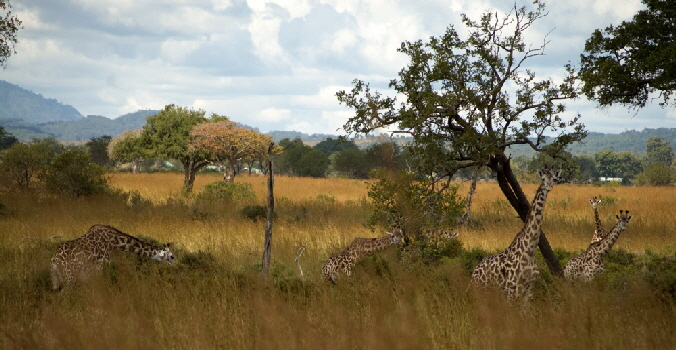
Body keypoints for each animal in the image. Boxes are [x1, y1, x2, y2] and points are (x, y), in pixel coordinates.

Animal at [470, 170, 560, 300]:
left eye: (554, 179)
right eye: (543, 179)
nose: (548, 187)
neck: (530, 251)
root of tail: (474, 271)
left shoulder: (530, 286)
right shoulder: (512, 285)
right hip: (481, 288)